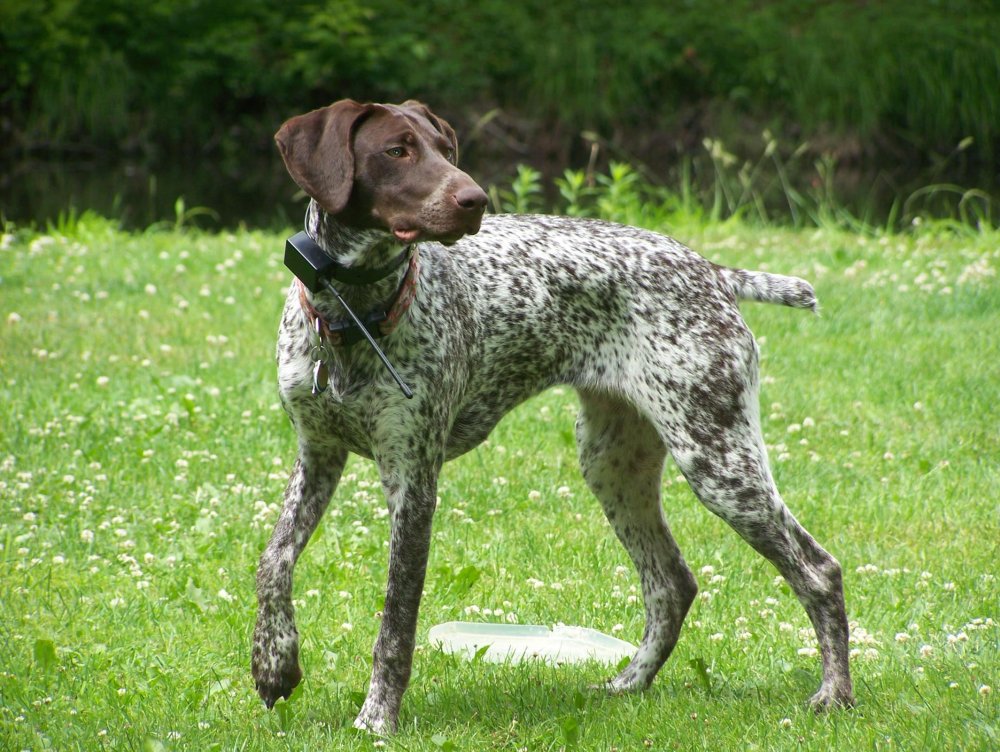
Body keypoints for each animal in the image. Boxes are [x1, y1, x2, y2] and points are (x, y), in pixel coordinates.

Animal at [250, 100, 852, 736]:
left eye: (446, 149)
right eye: (397, 150)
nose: (475, 199)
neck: (351, 318)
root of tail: (710, 271)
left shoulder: (412, 483)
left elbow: (396, 622)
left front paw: (377, 717)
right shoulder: (317, 455)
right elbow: (273, 563)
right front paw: (274, 664)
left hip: (718, 463)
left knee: (819, 572)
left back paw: (833, 694)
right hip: (614, 465)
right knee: (672, 583)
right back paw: (628, 683)